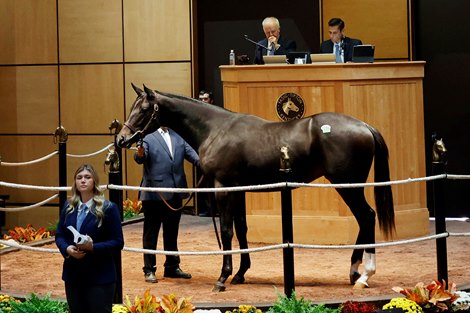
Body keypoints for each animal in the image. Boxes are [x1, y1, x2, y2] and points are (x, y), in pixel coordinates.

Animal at [115, 83, 394, 290]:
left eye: (143, 109)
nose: (121, 139)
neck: (215, 129)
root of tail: (364, 126)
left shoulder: (223, 189)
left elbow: (227, 230)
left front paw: (222, 278)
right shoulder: (239, 190)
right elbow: (242, 229)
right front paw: (240, 274)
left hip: (348, 186)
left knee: (367, 216)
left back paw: (364, 274)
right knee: (365, 219)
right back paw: (354, 272)